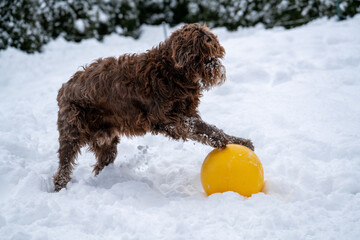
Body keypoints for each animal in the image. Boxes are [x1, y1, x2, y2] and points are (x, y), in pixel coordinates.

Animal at [53, 22, 253, 191]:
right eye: (206, 55)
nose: (217, 67)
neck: (171, 71)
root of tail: (65, 87)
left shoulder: (185, 113)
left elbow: (202, 128)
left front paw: (239, 141)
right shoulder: (168, 119)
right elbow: (203, 128)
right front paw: (228, 140)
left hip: (105, 139)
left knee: (102, 161)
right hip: (73, 130)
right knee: (65, 164)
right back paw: (60, 186)